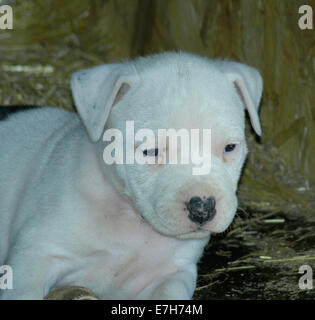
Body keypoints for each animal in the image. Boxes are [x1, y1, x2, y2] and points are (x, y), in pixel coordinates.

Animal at [0, 51, 262, 298]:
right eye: (151, 151)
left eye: (229, 147)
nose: (203, 208)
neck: (128, 216)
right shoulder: (34, 254)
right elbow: (24, 291)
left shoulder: (171, 274)